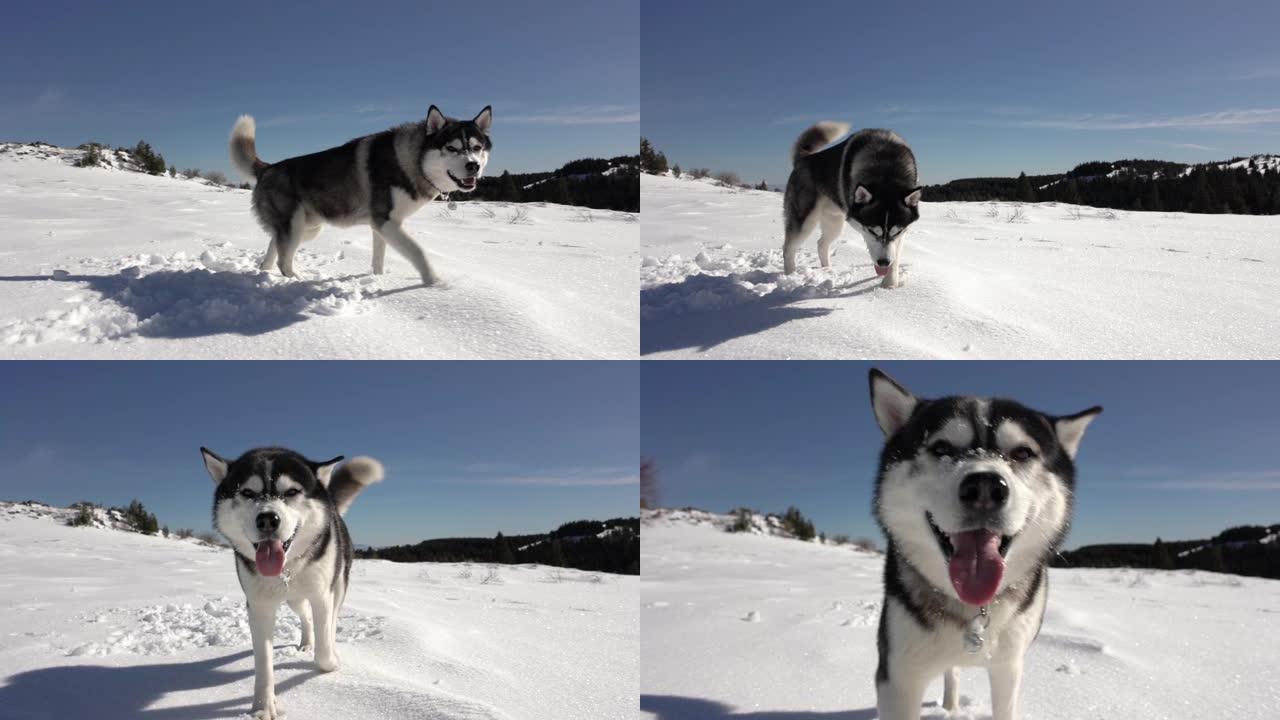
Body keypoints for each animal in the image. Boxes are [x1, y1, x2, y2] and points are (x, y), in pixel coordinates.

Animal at [199, 445, 384, 712]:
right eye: (247, 492)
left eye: (292, 491)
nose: (267, 519)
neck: (286, 569)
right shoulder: (259, 605)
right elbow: (263, 661)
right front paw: (263, 707)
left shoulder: (322, 595)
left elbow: (324, 649)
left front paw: (331, 664)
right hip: (294, 599)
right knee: (305, 616)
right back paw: (306, 642)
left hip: (337, 587)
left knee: (330, 622)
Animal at [227, 104, 491, 283]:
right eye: (452, 148)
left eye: (477, 148)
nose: (473, 166)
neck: (410, 161)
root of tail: (268, 168)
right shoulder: (385, 220)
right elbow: (419, 252)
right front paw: (435, 283)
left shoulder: (383, 226)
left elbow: (379, 259)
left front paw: (378, 279)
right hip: (295, 225)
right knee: (284, 260)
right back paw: (297, 280)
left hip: (306, 228)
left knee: (274, 247)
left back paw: (265, 271)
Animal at [778, 122, 921, 285]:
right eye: (872, 231)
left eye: (897, 231)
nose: (884, 262)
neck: (887, 169)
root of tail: (804, 158)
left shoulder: (902, 232)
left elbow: (895, 255)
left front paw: (889, 284)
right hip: (805, 221)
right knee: (788, 248)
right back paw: (790, 276)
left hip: (834, 222)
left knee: (821, 244)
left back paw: (827, 270)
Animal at [870, 368, 1100, 717]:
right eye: (942, 448)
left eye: (1022, 452)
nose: (985, 488)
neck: (973, 610)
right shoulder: (898, 678)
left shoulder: (1008, 665)